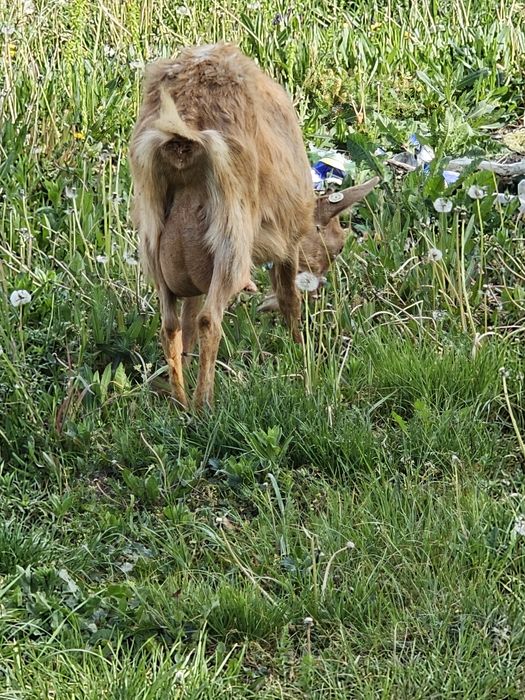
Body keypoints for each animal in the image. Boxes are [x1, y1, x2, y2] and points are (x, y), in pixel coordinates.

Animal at [130, 42, 378, 408]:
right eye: (337, 246)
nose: (319, 287)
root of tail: (184, 135)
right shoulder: (288, 240)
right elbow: (289, 298)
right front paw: (301, 351)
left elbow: (188, 317)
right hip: (232, 237)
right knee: (210, 318)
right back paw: (203, 404)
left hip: (155, 239)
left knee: (171, 324)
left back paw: (180, 400)